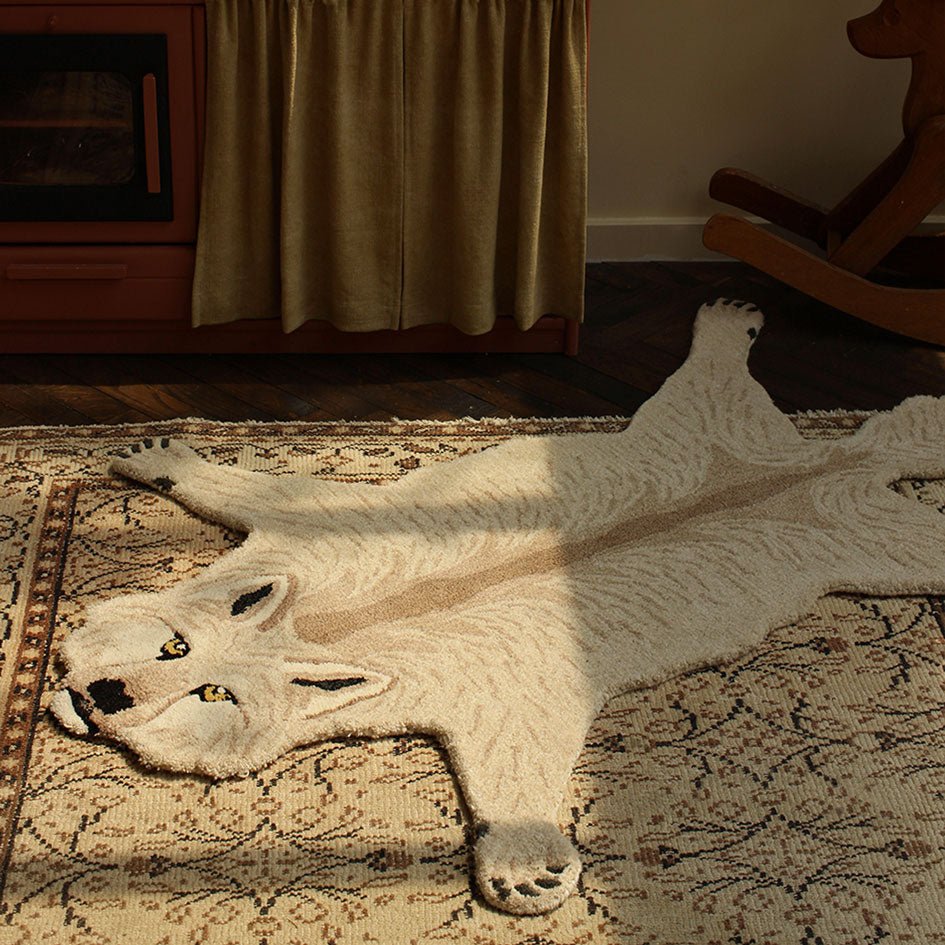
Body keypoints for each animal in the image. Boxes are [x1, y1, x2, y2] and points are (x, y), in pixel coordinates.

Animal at [50, 301, 945, 914]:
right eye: (173, 647)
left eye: (213, 693)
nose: (107, 695)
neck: (332, 623)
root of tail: (835, 463)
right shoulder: (316, 534)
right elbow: (261, 491)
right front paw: (159, 455)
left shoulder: (500, 680)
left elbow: (514, 755)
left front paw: (525, 865)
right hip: (704, 437)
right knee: (720, 389)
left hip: (851, 545)